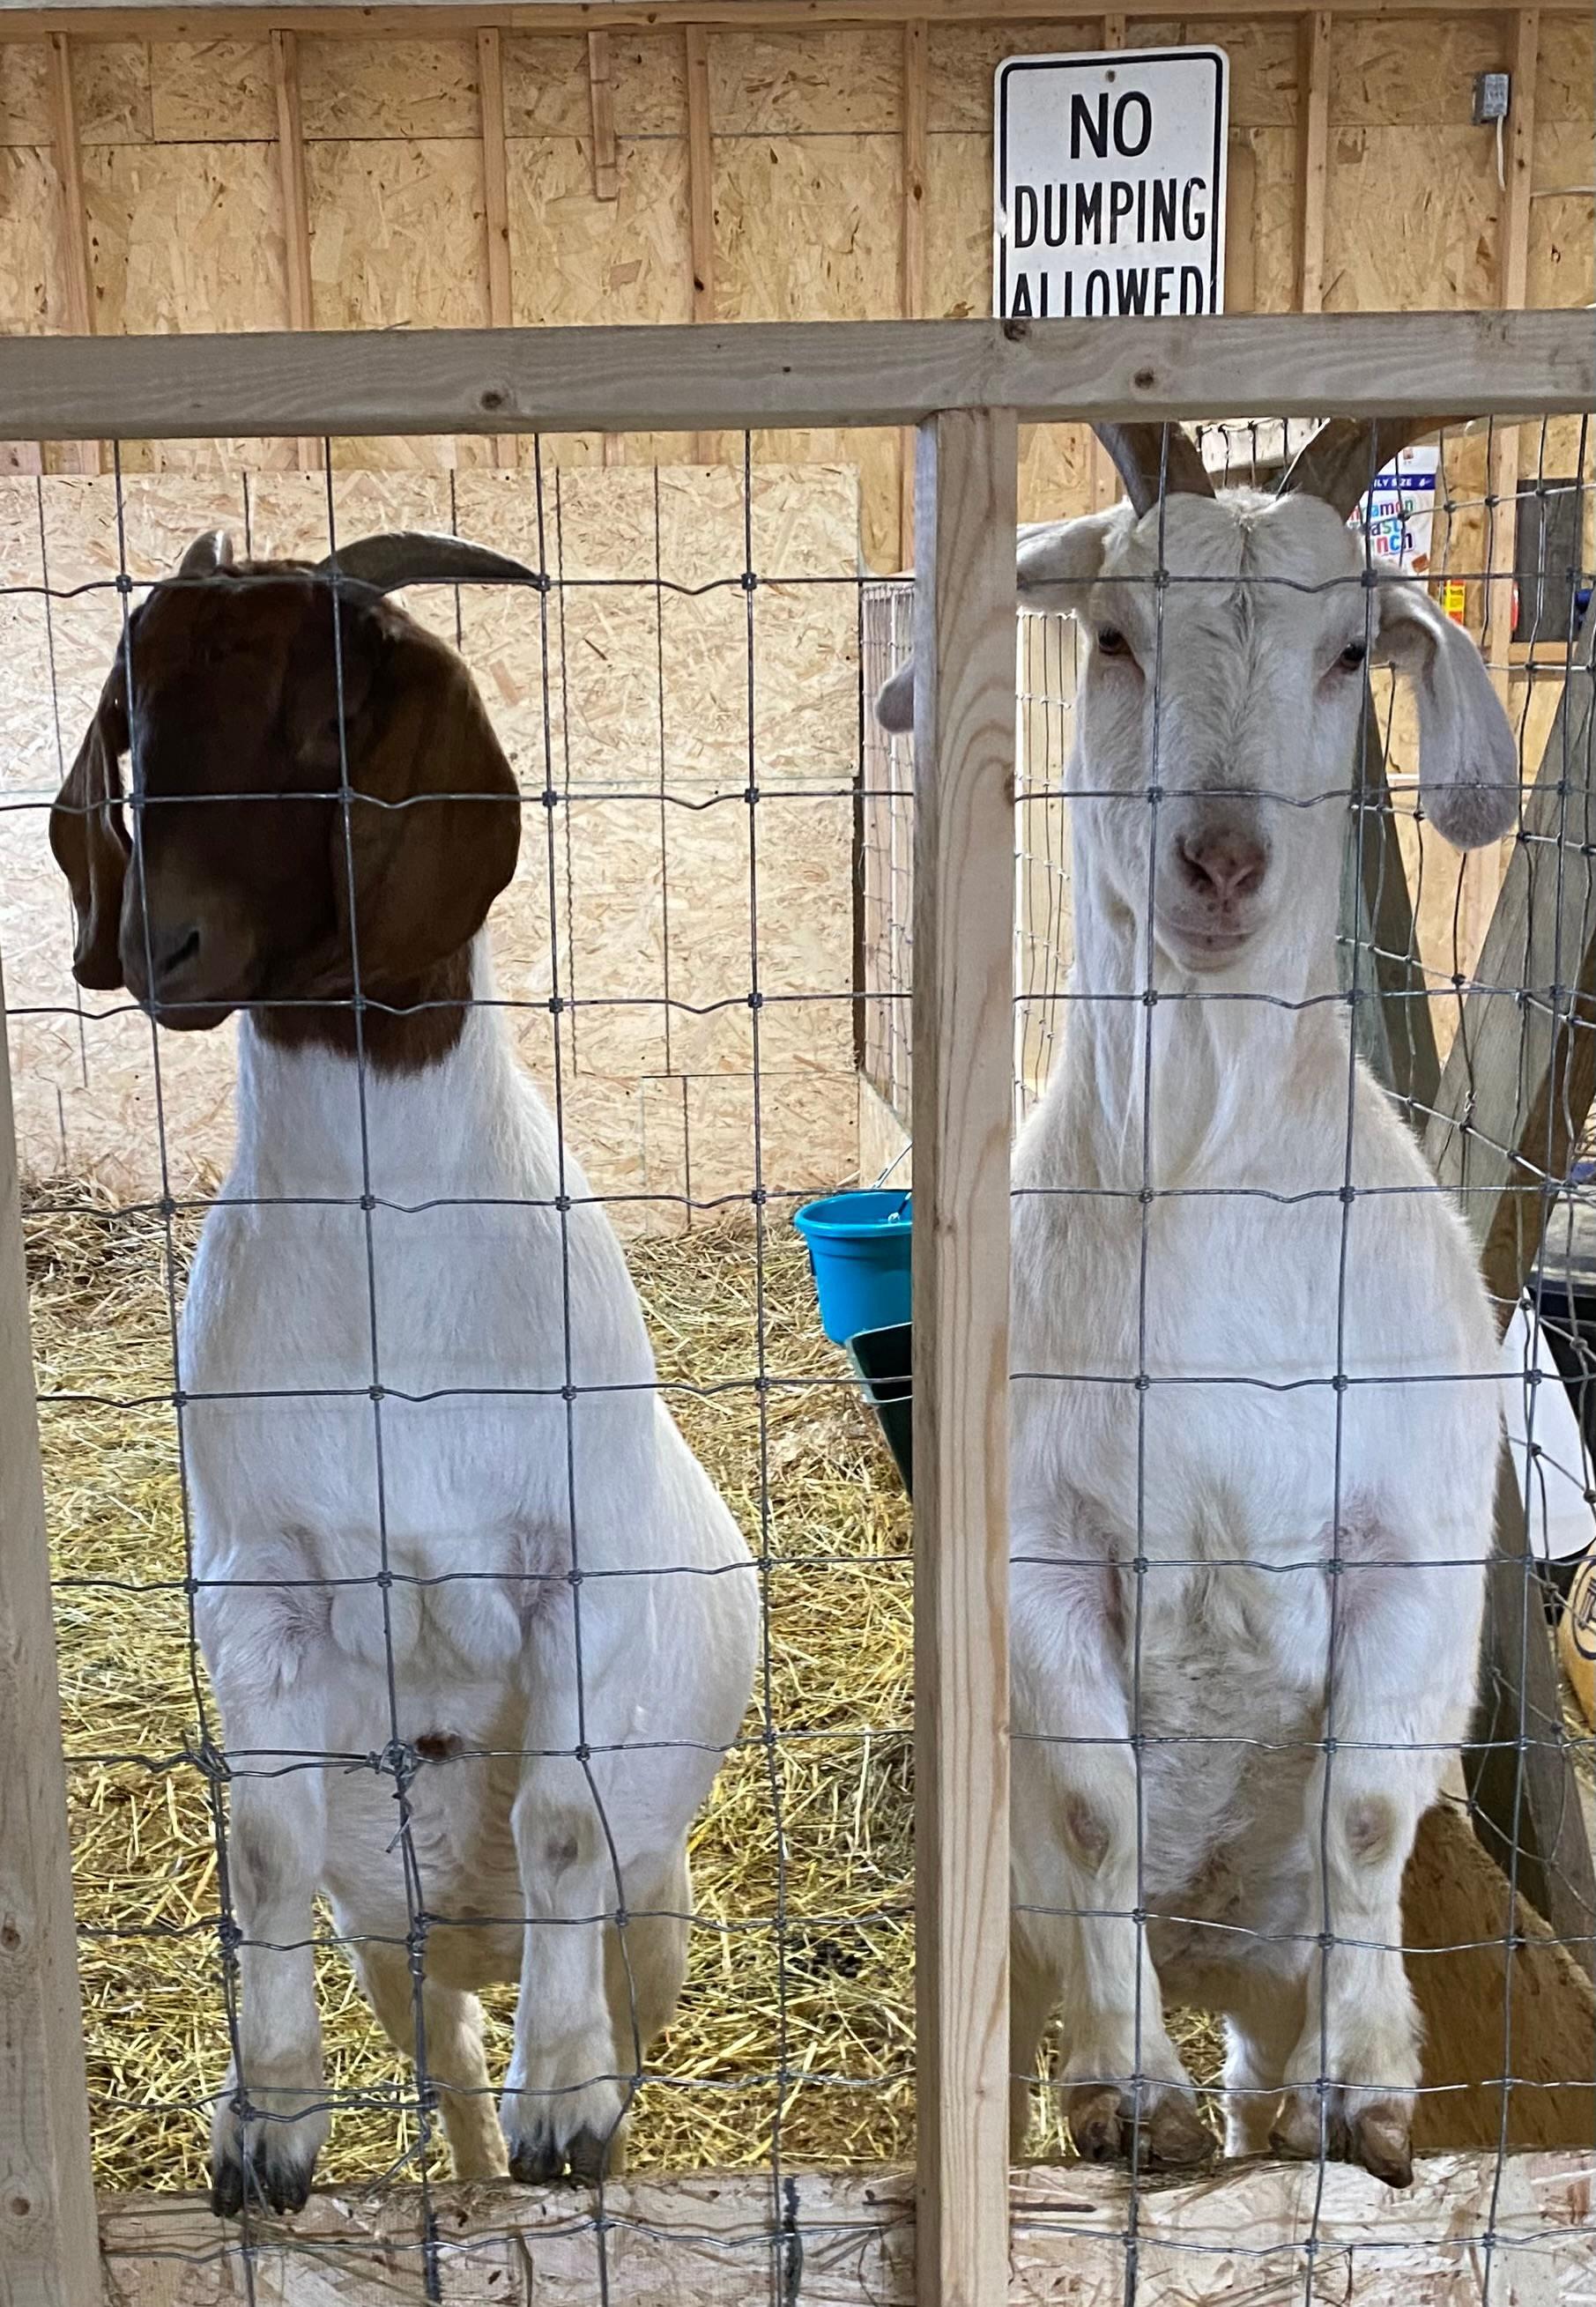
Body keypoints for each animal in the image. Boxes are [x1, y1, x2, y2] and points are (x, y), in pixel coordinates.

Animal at [50, 531, 759, 2212]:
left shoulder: (577, 1568)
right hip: (398, 1940)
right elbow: (260, 1846)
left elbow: (559, 1817)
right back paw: (479, 2179)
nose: (162, 946)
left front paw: (567, 2103)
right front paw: (262, 2125)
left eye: (328, 719)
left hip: (662, 1904)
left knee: (616, 1981)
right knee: (439, 2047)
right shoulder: (262, 1590)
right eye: (132, 727)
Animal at [879, 419, 1519, 2186]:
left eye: (1349, 651)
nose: (1221, 860)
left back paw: (1288, 2104)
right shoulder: (1039, 1546)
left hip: (1271, 1957)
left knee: (1276, 2015)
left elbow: (1364, 1812)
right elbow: (1097, 1806)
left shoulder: (1414, 1542)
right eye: (1112, 634)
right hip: (1006, 1933)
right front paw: (1125, 2093)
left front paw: (1367, 2099)